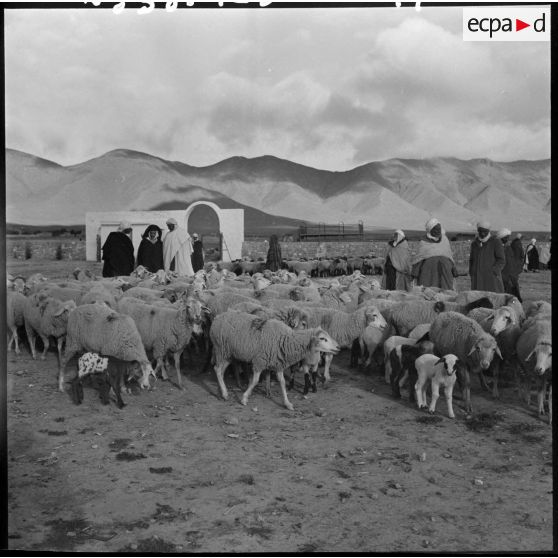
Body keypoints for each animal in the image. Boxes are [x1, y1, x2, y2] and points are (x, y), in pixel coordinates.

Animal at [210, 316, 342, 412]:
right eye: (323, 339)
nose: (338, 347)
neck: (286, 339)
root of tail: (218, 317)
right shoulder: (259, 361)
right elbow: (254, 381)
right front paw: (244, 398)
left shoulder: (278, 364)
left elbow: (282, 382)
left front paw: (287, 403)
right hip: (221, 350)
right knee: (217, 369)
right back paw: (225, 393)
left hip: (228, 354)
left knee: (220, 371)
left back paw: (222, 391)